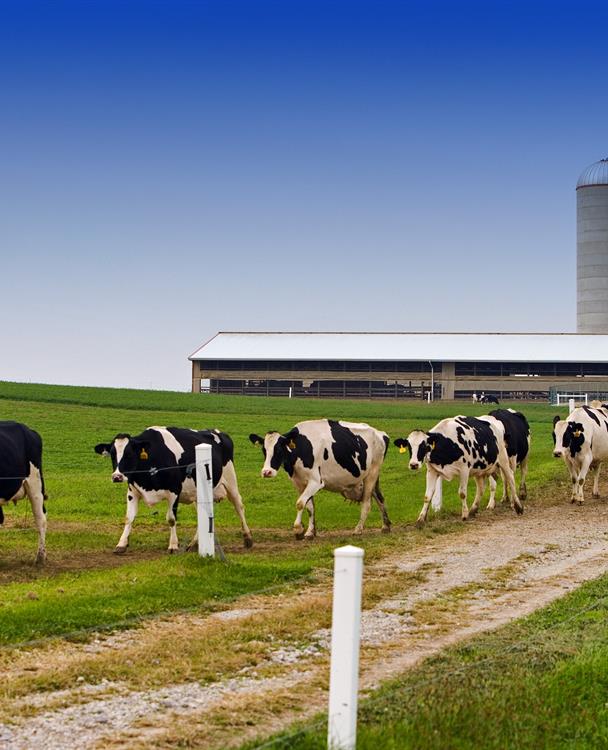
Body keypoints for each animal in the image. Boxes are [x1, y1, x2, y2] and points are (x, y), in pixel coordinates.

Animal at [92, 426, 252, 556]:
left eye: (129, 454)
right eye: (112, 454)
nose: (117, 476)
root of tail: (218, 432)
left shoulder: (174, 492)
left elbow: (171, 519)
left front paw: (173, 546)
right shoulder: (132, 492)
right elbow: (129, 518)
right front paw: (121, 544)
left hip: (230, 480)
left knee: (239, 505)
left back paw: (248, 538)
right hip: (199, 493)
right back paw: (194, 544)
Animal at [249, 424, 392, 540]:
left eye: (279, 449)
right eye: (264, 450)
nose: (266, 472)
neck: (302, 448)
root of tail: (381, 434)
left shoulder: (316, 482)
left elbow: (300, 503)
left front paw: (298, 529)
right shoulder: (299, 483)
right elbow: (309, 507)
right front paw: (310, 532)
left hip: (371, 474)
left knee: (367, 504)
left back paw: (358, 529)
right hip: (370, 477)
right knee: (380, 498)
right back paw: (386, 526)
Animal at [394, 418, 524, 528]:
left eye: (424, 446)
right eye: (409, 446)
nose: (414, 464)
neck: (446, 442)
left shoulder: (464, 470)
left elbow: (462, 493)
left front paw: (464, 515)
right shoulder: (432, 471)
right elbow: (427, 496)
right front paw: (421, 519)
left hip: (503, 459)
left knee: (511, 478)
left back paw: (518, 507)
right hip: (479, 469)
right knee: (481, 488)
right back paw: (473, 509)